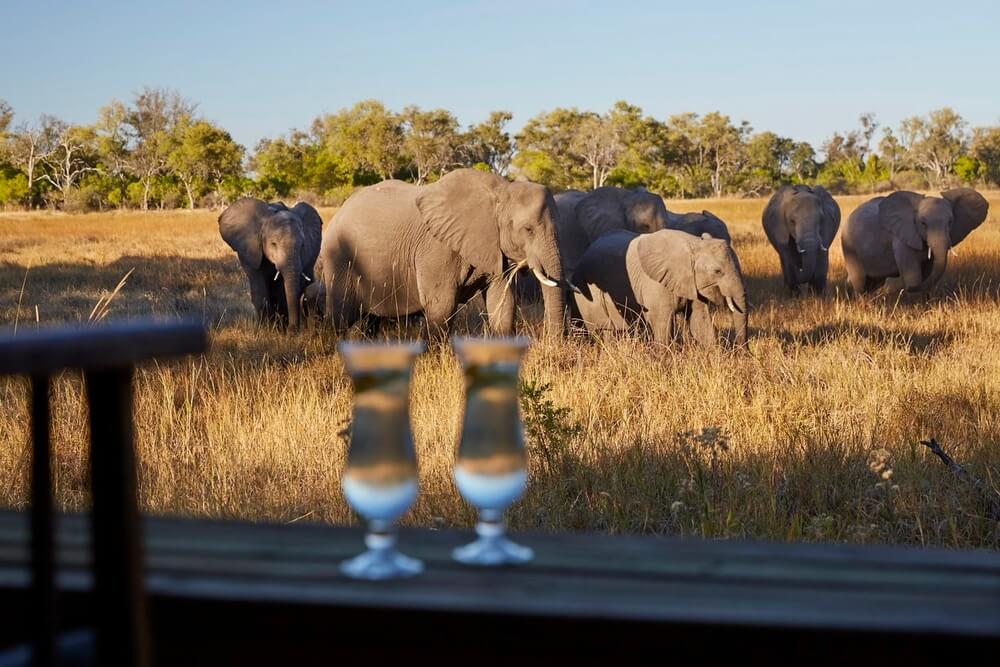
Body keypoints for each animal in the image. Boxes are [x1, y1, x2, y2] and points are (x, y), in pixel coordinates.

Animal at [219, 198, 323, 330]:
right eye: (273, 244)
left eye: (302, 245)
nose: (293, 331)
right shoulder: (250, 250)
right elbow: (259, 287)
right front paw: (266, 330)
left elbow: (282, 291)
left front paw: (282, 330)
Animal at [320, 168, 565, 337]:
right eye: (528, 229)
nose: (553, 343)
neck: (499, 192)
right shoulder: (437, 250)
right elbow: (442, 305)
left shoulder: (495, 249)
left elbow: (502, 303)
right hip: (339, 257)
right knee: (342, 317)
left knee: (370, 321)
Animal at [571, 229, 748, 347]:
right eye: (717, 271)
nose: (744, 353)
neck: (693, 243)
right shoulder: (655, 284)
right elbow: (662, 321)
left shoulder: (691, 282)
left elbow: (700, 321)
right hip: (586, 290)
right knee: (602, 328)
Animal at [841, 188, 989, 295]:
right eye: (923, 223)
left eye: (950, 222)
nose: (906, 290)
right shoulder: (902, 238)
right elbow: (912, 273)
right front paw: (915, 295)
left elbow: (929, 268)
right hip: (849, 245)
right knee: (859, 280)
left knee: (875, 282)